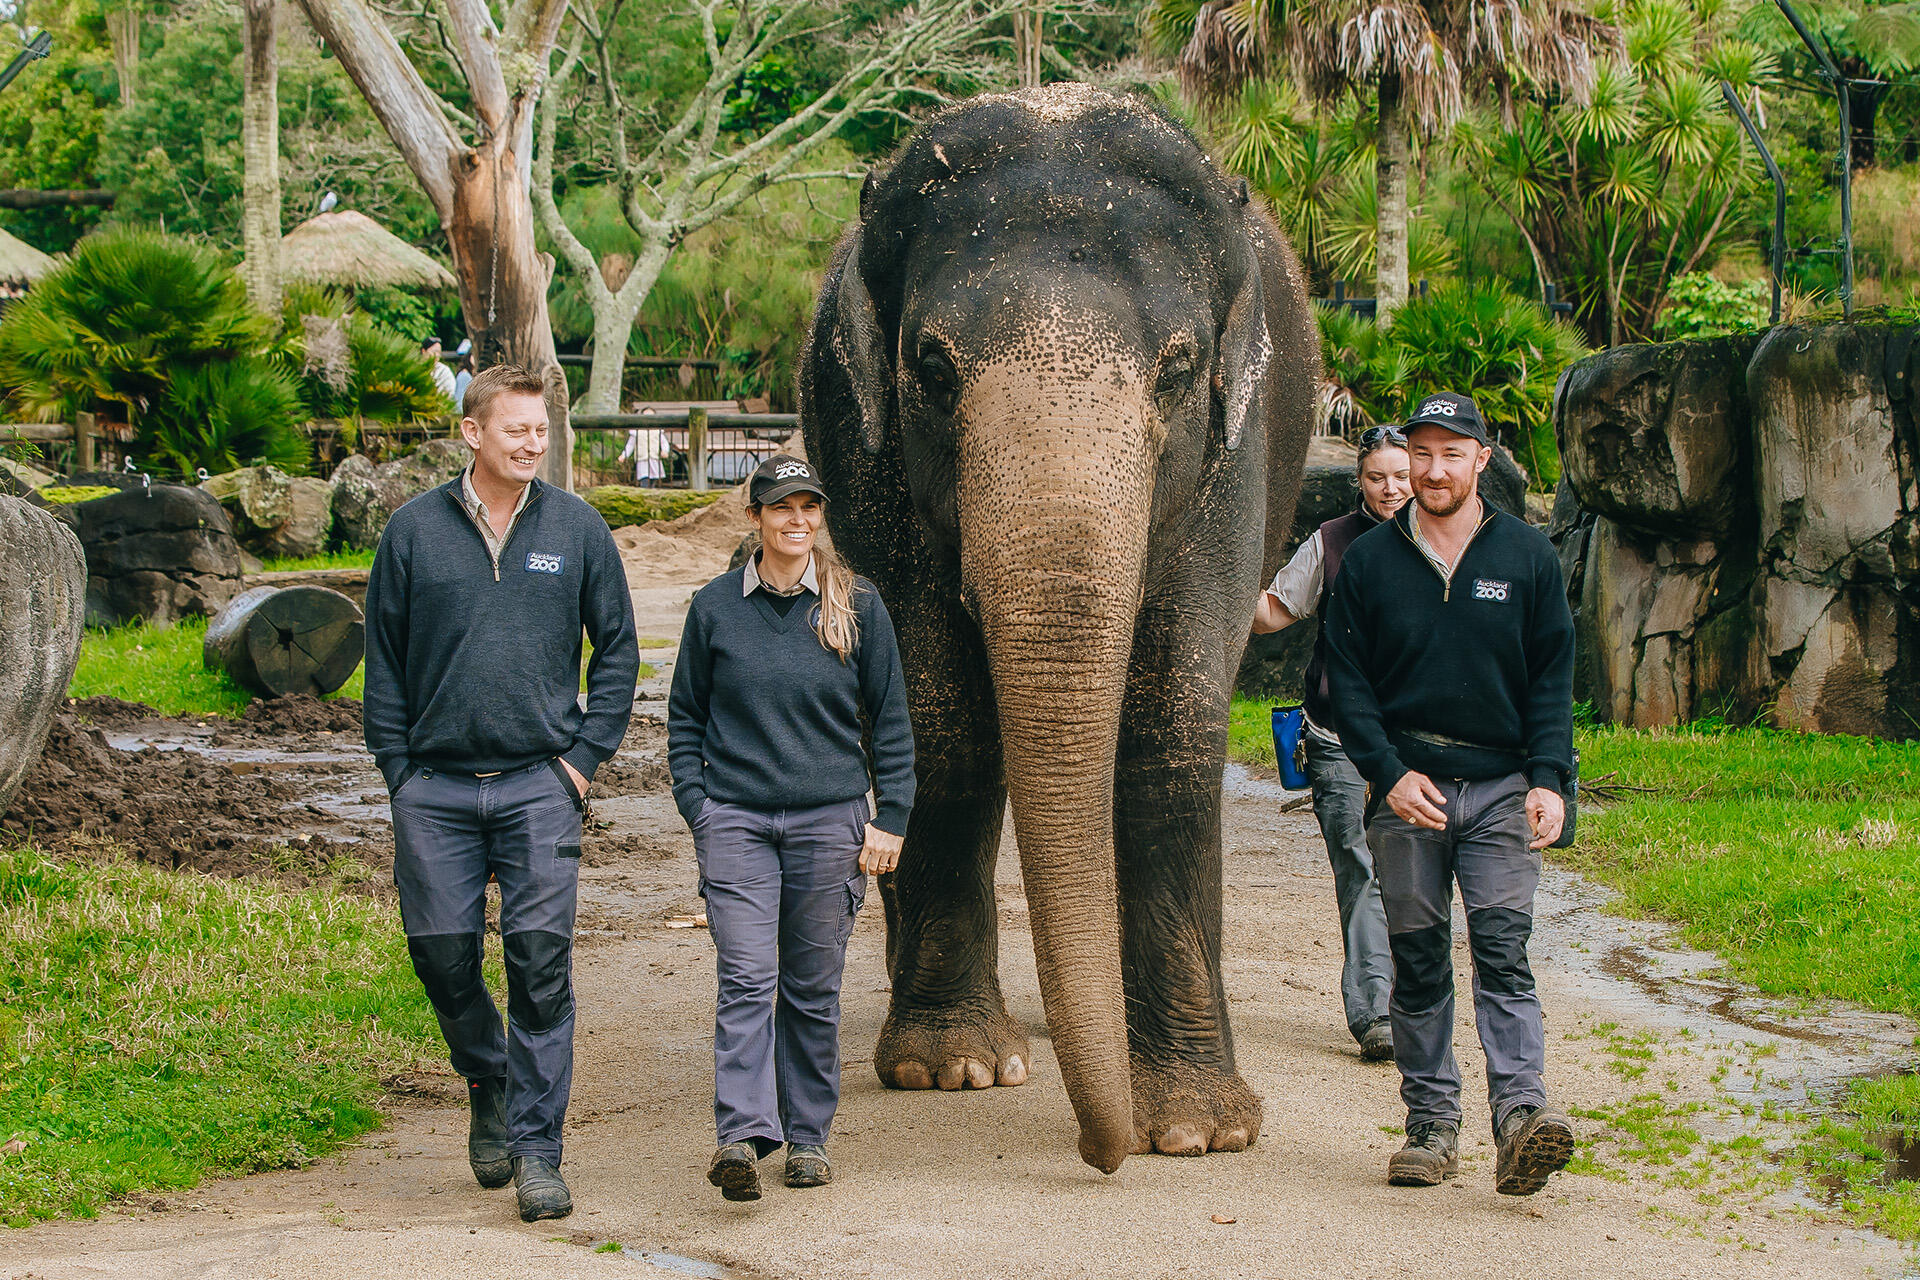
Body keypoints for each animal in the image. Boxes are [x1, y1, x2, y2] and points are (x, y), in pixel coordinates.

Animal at [798, 84, 1320, 1174]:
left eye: (1178, 368)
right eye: (932, 369)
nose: (1098, 1152)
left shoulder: (1231, 457)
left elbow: (1176, 726)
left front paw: (1199, 1131)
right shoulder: (877, 462)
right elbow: (941, 718)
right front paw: (951, 1069)